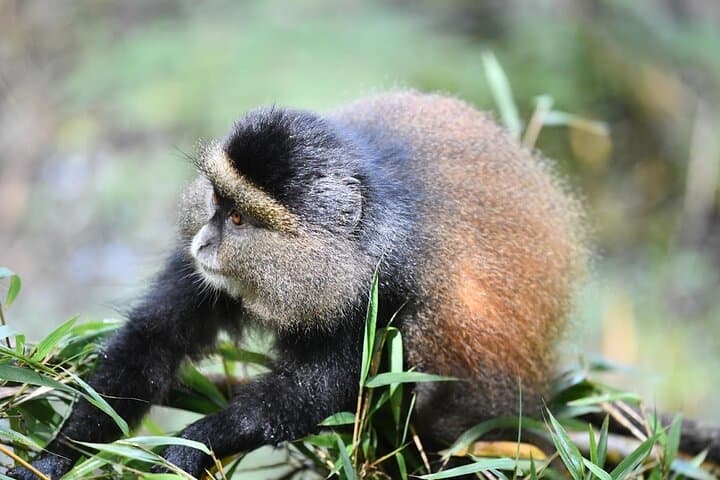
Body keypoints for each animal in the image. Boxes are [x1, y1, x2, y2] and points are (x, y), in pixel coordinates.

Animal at [7, 89, 700, 479]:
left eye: (238, 219)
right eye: (215, 205)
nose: (202, 242)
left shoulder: (389, 287)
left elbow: (312, 393)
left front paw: (194, 443)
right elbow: (156, 340)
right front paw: (54, 456)